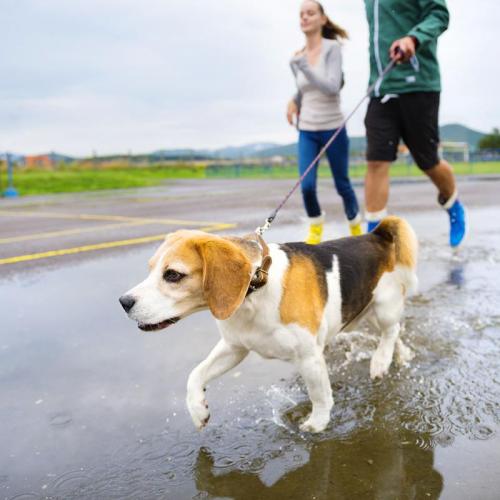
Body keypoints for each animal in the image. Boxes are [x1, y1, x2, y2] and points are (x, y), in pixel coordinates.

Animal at [120, 217, 418, 432]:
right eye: (151, 268)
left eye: (173, 275)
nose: (124, 302)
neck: (256, 287)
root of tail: (376, 235)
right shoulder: (234, 347)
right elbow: (195, 375)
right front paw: (198, 410)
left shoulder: (309, 357)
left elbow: (320, 395)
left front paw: (317, 424)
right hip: (361, 315)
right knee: (394, 334)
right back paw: (399, 356)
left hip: (384, 307)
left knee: (391, 331)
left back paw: (380, 361)